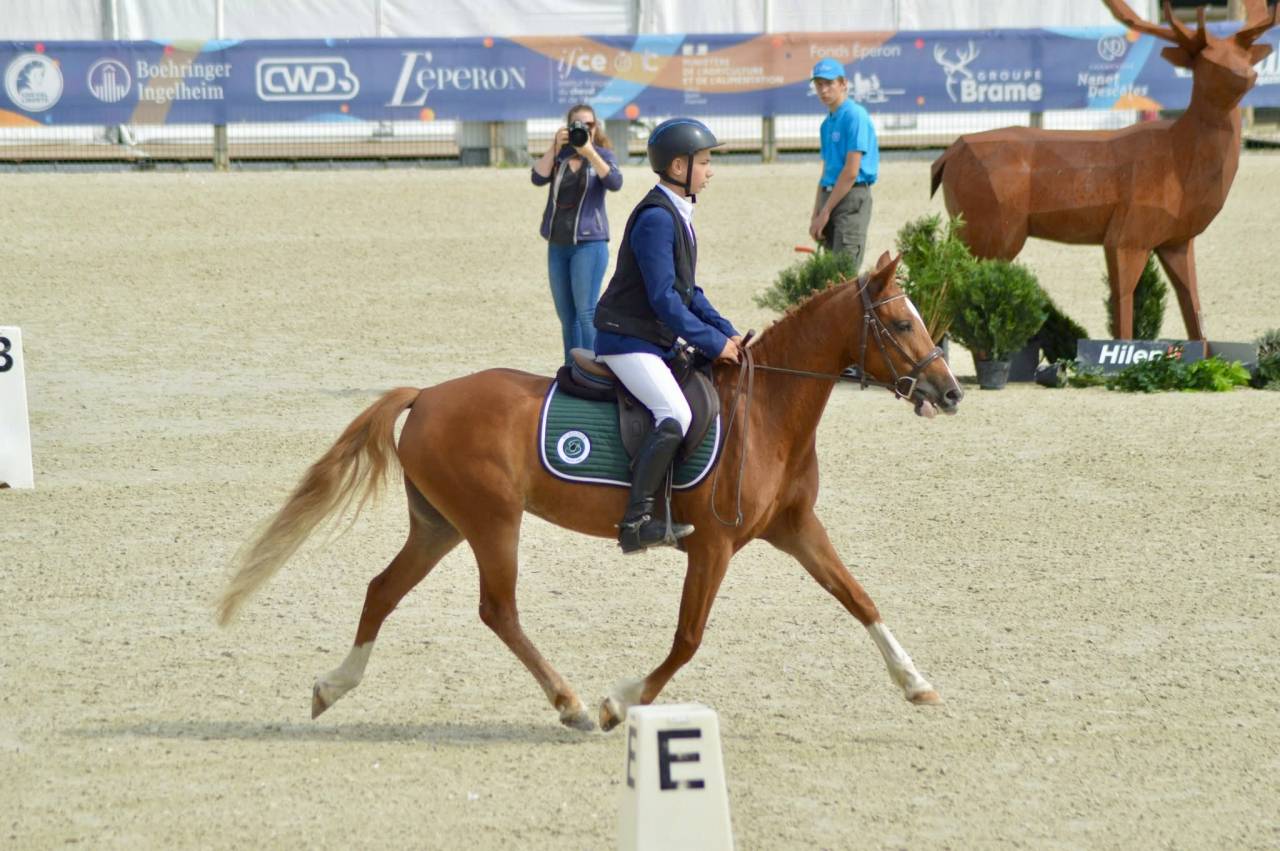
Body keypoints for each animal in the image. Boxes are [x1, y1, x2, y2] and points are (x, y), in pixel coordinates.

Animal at [215, 252, 964, 731]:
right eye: (900, 323)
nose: (950, 391)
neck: (771, 410)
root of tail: (426, 395)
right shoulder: (713, 546)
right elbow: (688, 637)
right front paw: (619, 701)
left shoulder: (797, 529)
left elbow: (859, 598)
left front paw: (918, 683)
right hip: (492, 521)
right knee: (498, 610)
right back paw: (571, 703)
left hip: (441, 524)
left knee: (383, 589)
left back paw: (332, 687)